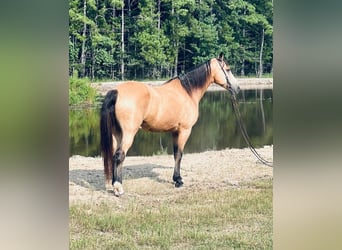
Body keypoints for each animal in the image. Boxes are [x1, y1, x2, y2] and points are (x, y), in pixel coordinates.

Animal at [99, 52, 239, 196]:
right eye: (228, 69)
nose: (237, 88)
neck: (188, 92)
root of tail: (116, 91)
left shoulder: (175, 131)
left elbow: (175, 154)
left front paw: (176, 179)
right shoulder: (184, 130)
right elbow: (179, 155)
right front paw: (179, 180)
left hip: (117, 133)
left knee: (114, 156)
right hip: (128, 133)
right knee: (119, 155)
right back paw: (118, 188)